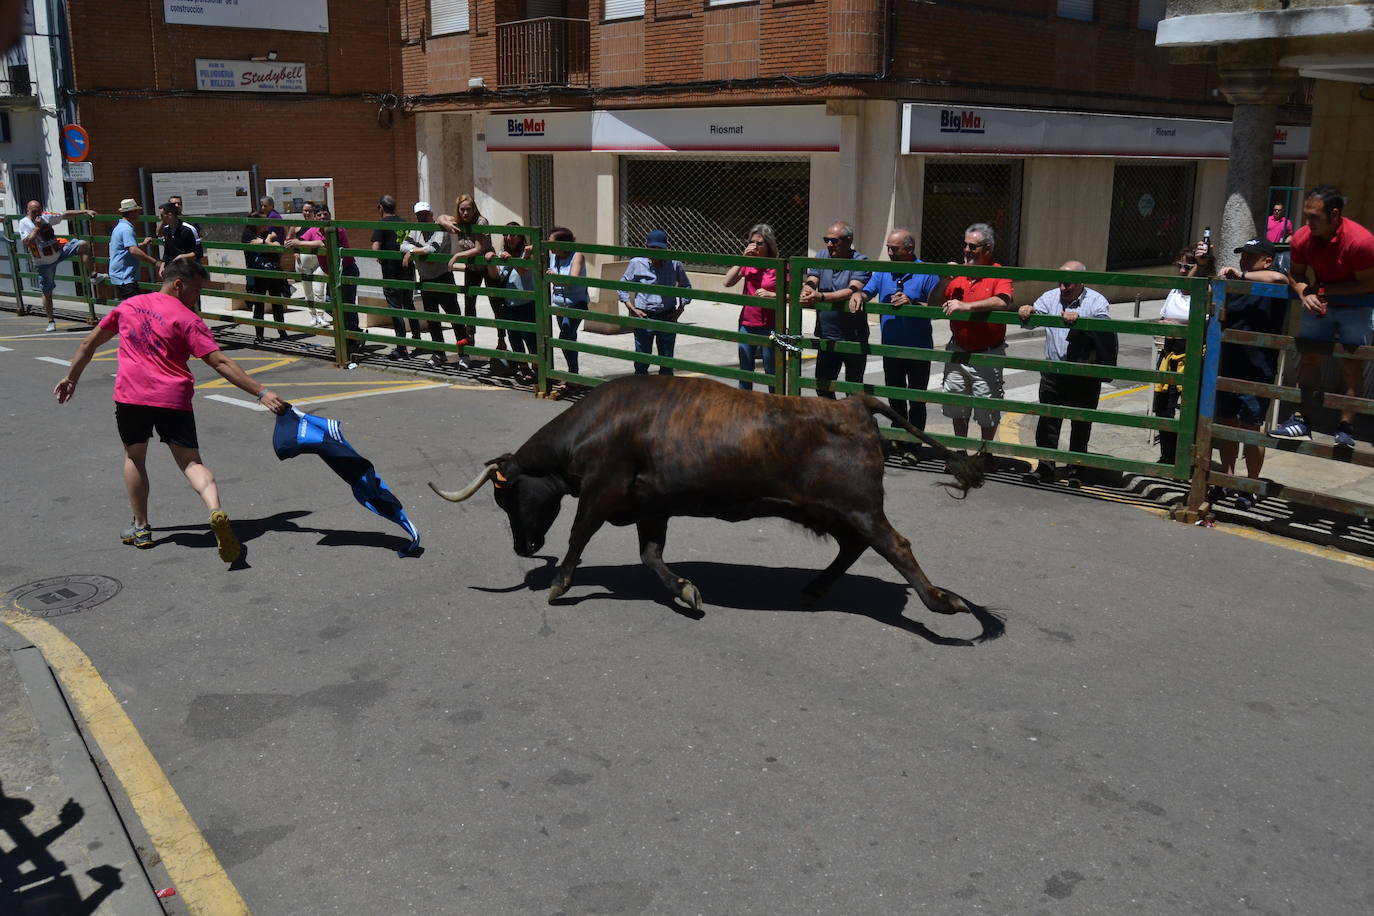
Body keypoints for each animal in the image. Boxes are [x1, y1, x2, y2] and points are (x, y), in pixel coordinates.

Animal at [434, 373, 1005, 645]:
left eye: (506, 495)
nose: (522, 546)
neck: (598, 422)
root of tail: (852, 404)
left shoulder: (601, 491)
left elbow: (579, 537)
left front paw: (558, 585)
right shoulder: (652, 506)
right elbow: (651, 555)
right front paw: (687, 591)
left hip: (859, 507)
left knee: (897, 546)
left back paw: (941, 603)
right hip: (832, 512)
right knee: (853, 548)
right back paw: (814, 589)